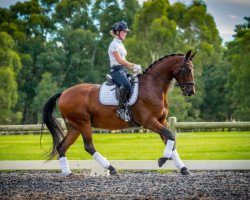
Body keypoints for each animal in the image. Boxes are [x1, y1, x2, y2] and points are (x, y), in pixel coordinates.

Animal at [42, 50, 196, 177]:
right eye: (187, 69)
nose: (191, 91)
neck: (152, 87)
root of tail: (64, 93)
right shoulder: (149, 122)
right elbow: (170, 135)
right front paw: (163, 160)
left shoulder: (162, 120)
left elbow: (170, 140)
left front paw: (183, 168)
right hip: (83, 123)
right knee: (89, 146)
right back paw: (111, 168)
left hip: (74, 126)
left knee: (62, 147)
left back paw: (67, 173)